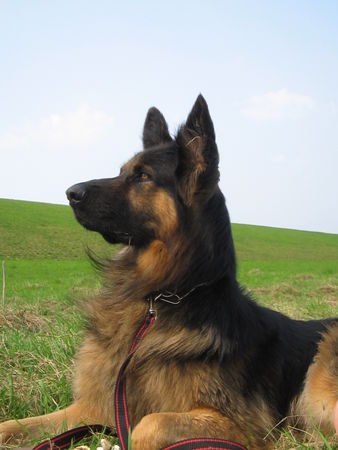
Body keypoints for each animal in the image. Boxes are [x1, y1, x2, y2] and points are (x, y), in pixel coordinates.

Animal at [0, 94, 338, 446]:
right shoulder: (93, 406)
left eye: (142, 176)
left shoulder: (245, 426)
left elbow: (149, 425)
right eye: (122, 171)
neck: (160, 297)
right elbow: (12, 426)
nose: (70, 193)